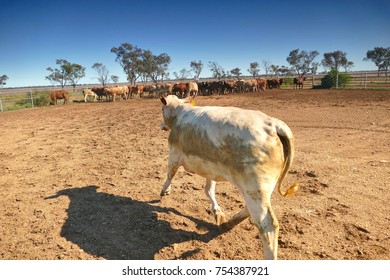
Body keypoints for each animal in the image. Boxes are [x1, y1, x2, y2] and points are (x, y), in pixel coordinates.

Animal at [158, 95, 298, 260]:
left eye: (162, 109)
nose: (161, 125)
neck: (179, 113)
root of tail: (274, 124)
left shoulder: (174, 154)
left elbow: (170, 173)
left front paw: (165, 190)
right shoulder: (210, 168)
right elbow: (209, 190)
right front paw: (217, 213)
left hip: (254, 188)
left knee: (267, 225)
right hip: (259, 190)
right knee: (249, 209)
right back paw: (228, 224)